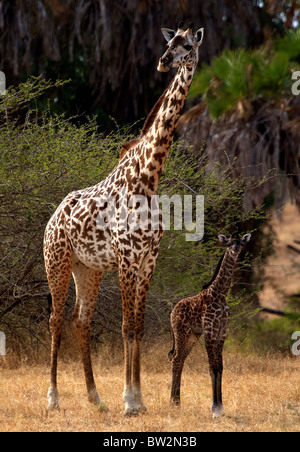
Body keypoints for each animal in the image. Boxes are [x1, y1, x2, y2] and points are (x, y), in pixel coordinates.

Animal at [44, 23, 204, 414]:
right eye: (169, 43)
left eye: (188, 46)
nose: (163, 62)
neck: (148, 177)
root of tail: (52, 219)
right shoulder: (128, 258)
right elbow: (126, 327)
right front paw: (131, 401)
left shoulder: (148, 260)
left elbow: (139, 328)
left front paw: (139, 399)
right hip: (57, 262)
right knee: (55, 320)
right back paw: (53, 398)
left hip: (88, 269)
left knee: (80, 320)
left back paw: (95, 397)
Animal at [169, 235, 251, 418]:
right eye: (229, 243)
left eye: (241, 242)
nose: (235, 249)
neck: (220, 295)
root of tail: (172, 311)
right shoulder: (210, 331)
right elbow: (212, 367)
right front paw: (215, 408)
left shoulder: (222, 332)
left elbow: (220, 367)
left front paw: (221, 407)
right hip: (181, 332)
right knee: (176, 360)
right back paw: (173, 403)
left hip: (192, 336)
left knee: (180, 360)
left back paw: (177, 402)